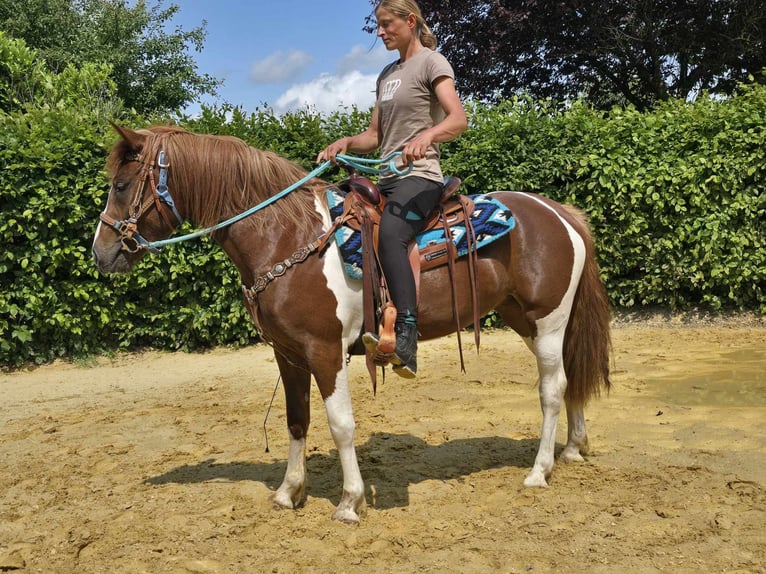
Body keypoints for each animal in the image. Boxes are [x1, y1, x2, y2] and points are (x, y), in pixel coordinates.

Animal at [92, 123, 612, 524]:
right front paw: (289, 493)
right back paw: (573, 448)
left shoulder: (324, 350)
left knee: (551, 389)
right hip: (525, 319)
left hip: (548, 319)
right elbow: (296, 420)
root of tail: (560, 212)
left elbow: (341, 424)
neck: (286, 235)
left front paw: (349, 502)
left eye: (121, 186)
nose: (101, 253)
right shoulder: (288, 354)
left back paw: (539, 471)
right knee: (569, 378)